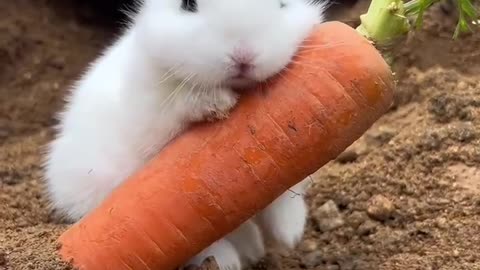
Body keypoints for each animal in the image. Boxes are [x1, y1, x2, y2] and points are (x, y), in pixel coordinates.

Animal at [44, 1, 326, 268]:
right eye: (187, 4)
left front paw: (290, 234)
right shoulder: (152, 118)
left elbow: (285, 195)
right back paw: (229, 260)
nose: (243, 55)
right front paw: (217, 103)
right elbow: (180, 107)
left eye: (282, 4)